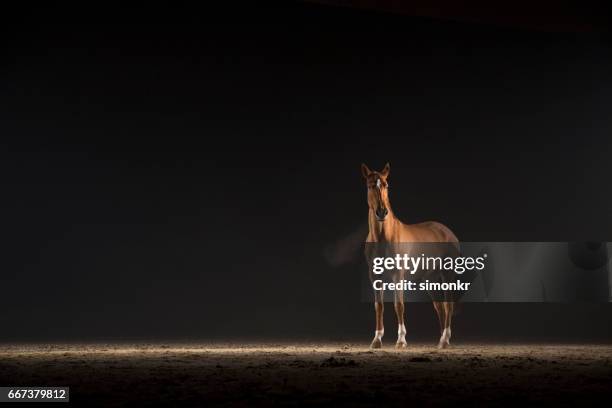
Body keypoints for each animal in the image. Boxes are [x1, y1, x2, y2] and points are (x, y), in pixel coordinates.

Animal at [360, 164, 456, 350]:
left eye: (386, 185)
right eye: (369, 186)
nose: (382, 212)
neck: (383, 237)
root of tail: (447, 231)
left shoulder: (398, 276)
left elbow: (399, 305)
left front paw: (401, 340)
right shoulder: (374, 276)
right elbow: (379, 305)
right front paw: (376, 339)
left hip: (447, 274)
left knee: (448, 305)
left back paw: (445, 339)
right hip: (430, 279)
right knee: (439, 307)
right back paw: (441, 340)